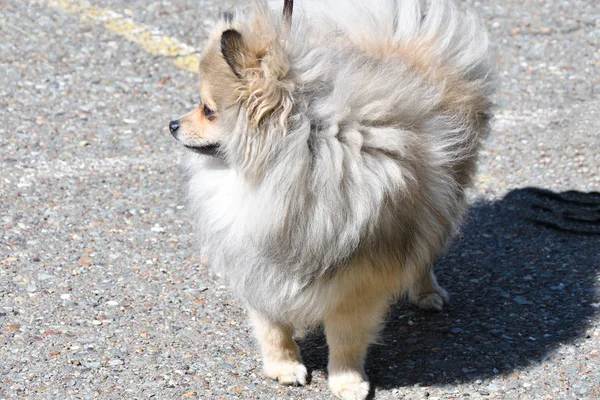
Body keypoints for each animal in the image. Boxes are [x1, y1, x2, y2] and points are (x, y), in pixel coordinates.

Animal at [170, 0, 496, 396]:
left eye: (208, 110)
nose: (172, 124)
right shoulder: (258, 265)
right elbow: (271, 327)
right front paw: (284, 366)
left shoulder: (356, 283)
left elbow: (346, 338)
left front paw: (347, 381)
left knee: (425, 249)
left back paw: (427, 292)